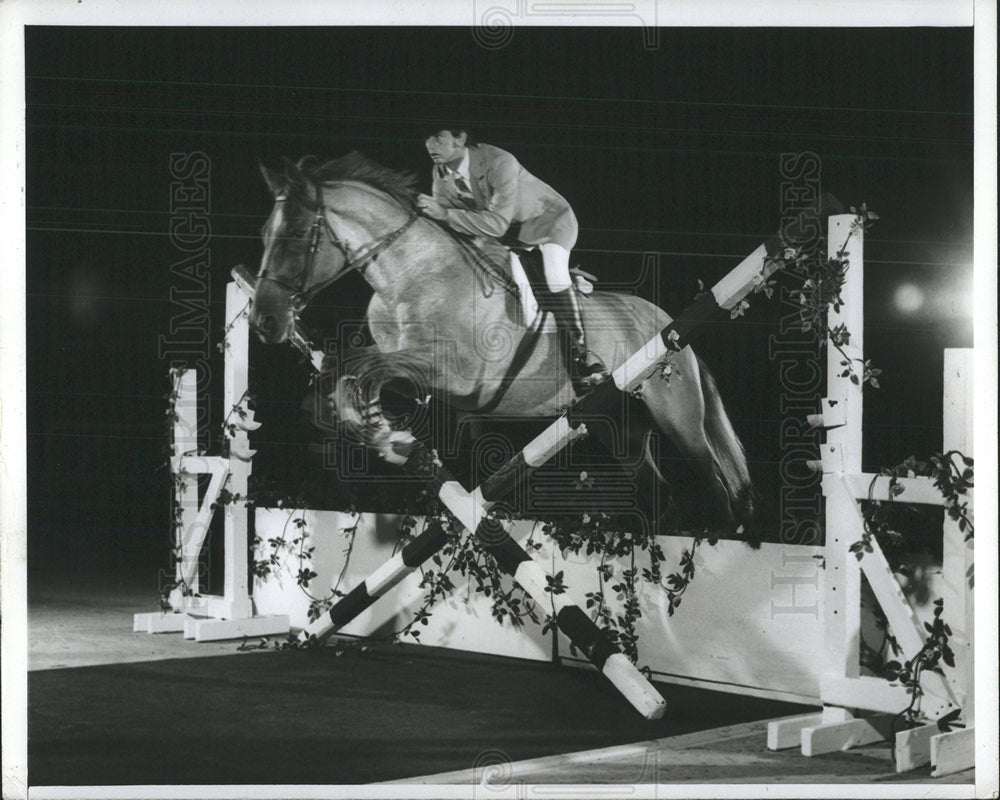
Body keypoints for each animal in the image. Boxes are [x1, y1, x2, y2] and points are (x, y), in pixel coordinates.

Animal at [248, 154, 752, 536]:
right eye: (263, 234)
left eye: (296, 235)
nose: (264, 321)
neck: (412, 273)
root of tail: (667, 322)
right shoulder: (417, 374)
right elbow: (351, 367)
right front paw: (369, 428)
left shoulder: (459, 377)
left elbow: (363, 365)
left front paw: (383, 436)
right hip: (622, 431)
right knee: (655, 486)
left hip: (677, 416)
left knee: (713, 478)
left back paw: (717, 537)